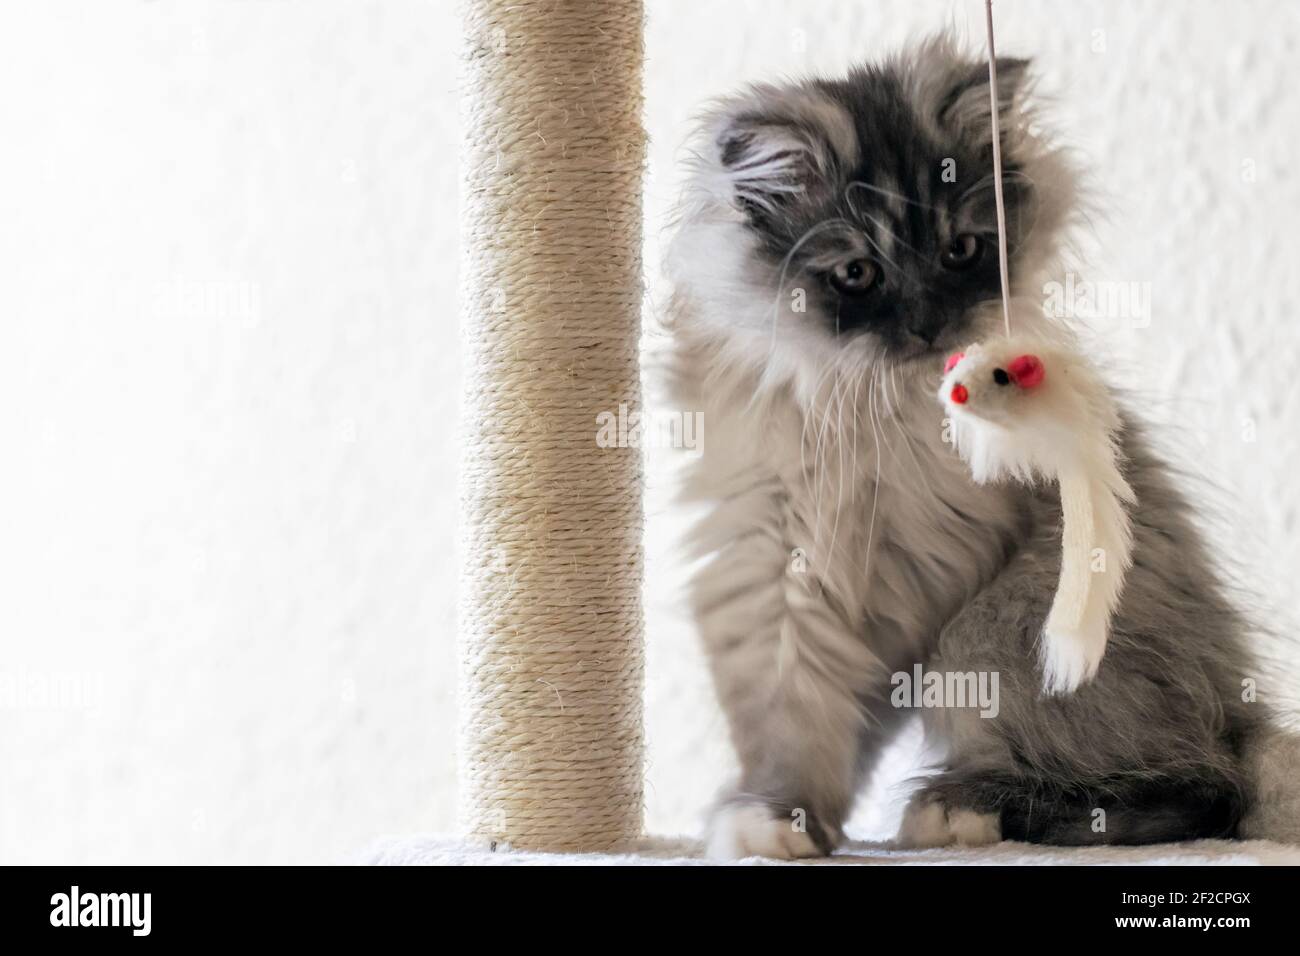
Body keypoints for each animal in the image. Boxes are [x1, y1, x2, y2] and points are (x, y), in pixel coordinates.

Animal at [665, 37, 1294, 858]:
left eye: (962, 249)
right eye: (858, 272)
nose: (931, 324)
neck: (865, 414)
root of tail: (1240, 719)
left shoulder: (924, 578)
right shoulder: (772, 572)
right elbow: (794, 724)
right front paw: (782, 817)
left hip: (996, 632)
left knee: (1199, 790)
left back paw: (962, 808)